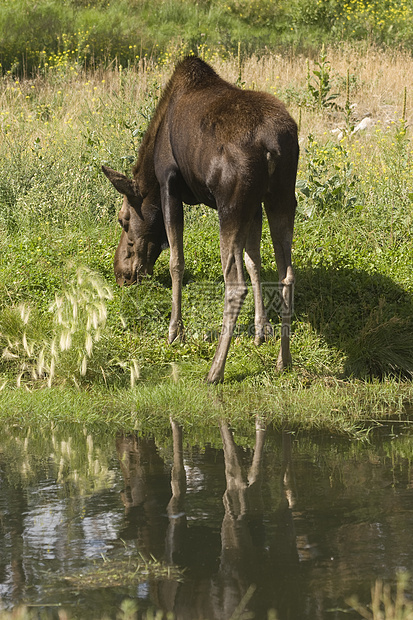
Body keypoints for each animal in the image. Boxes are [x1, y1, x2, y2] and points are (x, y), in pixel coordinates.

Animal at [101, 55, 298, 382]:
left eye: (123, 219)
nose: (121, 274)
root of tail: (273, 146)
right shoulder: (255, 206)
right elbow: (255, 262)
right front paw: (261, 329)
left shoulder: (169, 182)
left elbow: (176, 261)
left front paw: (174, 331)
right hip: (281, 198)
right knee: (287, 275)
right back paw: (284, 361)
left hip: (231, 203)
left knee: (234, 285)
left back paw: (216, 369)